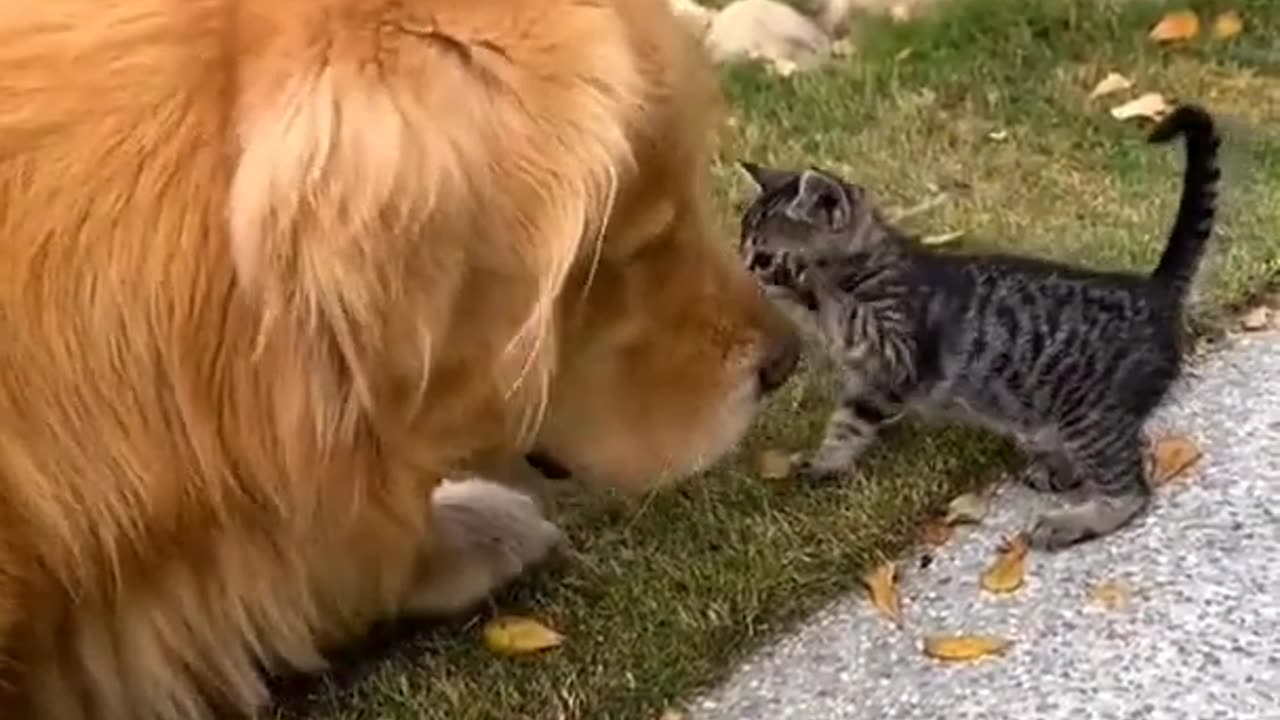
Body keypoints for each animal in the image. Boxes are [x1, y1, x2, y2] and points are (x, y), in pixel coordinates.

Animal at [742, 103, 1218, 545]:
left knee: (1131, 490)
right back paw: (1058, 469)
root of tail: (1154, 289)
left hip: (1089, 411)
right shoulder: (870, 383)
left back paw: (1074, 519)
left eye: (761, 255)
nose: (746, 269)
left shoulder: (898, 348)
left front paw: (805, 281)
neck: (869, 268)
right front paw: (824, 465)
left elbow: (844, 312)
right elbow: (845, 426)